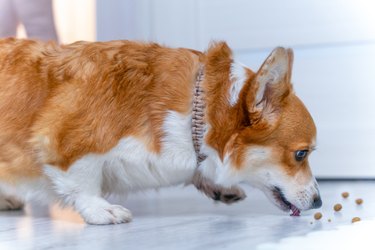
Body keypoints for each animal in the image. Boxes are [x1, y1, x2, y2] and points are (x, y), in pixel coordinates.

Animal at [0, 38, 324, 224]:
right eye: (301, 154)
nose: (319, 202)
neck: (198, 111)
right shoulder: (61, 140)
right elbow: (82, 182)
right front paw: (100, 210)